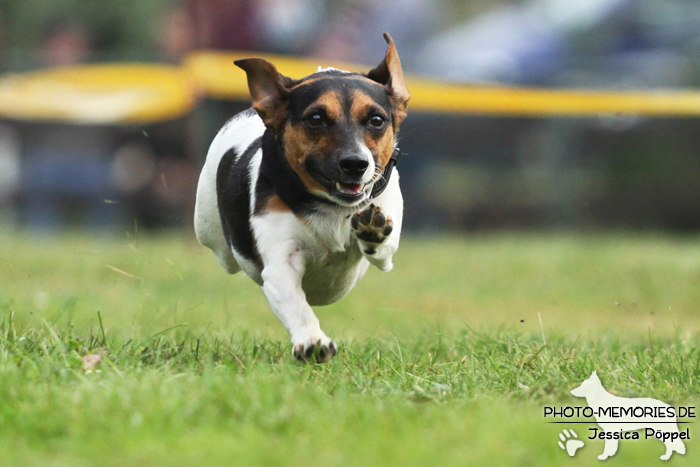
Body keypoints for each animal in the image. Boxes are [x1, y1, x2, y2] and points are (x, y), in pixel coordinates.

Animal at [193, 34, 410, 364]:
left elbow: (383, 247)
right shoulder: (280, 261)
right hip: (209, 231)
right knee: (225, 252)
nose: (356, 163)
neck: (334, 207)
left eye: (376, 120)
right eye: (316, 118)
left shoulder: (387, 229)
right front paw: (312, 342)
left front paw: (372, 230)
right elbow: (296, 303)